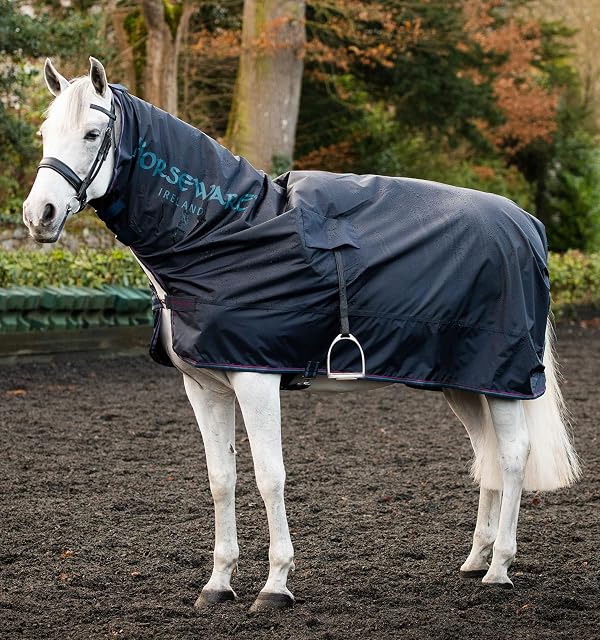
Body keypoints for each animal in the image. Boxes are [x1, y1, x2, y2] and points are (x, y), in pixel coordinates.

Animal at [23, 57, 580, 612]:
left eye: (93, 134)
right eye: (45, 134)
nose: (38, 215)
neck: (225, 232)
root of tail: (525, 223)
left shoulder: (256, 379)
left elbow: (271, 477)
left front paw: (275, 585)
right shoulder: (203, 388)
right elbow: (221, 480)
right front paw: (218, 583)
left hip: (501, 378)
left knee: (512, 456)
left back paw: (500, 568)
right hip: (462, 380)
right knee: (487, 454)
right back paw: (476, 559)